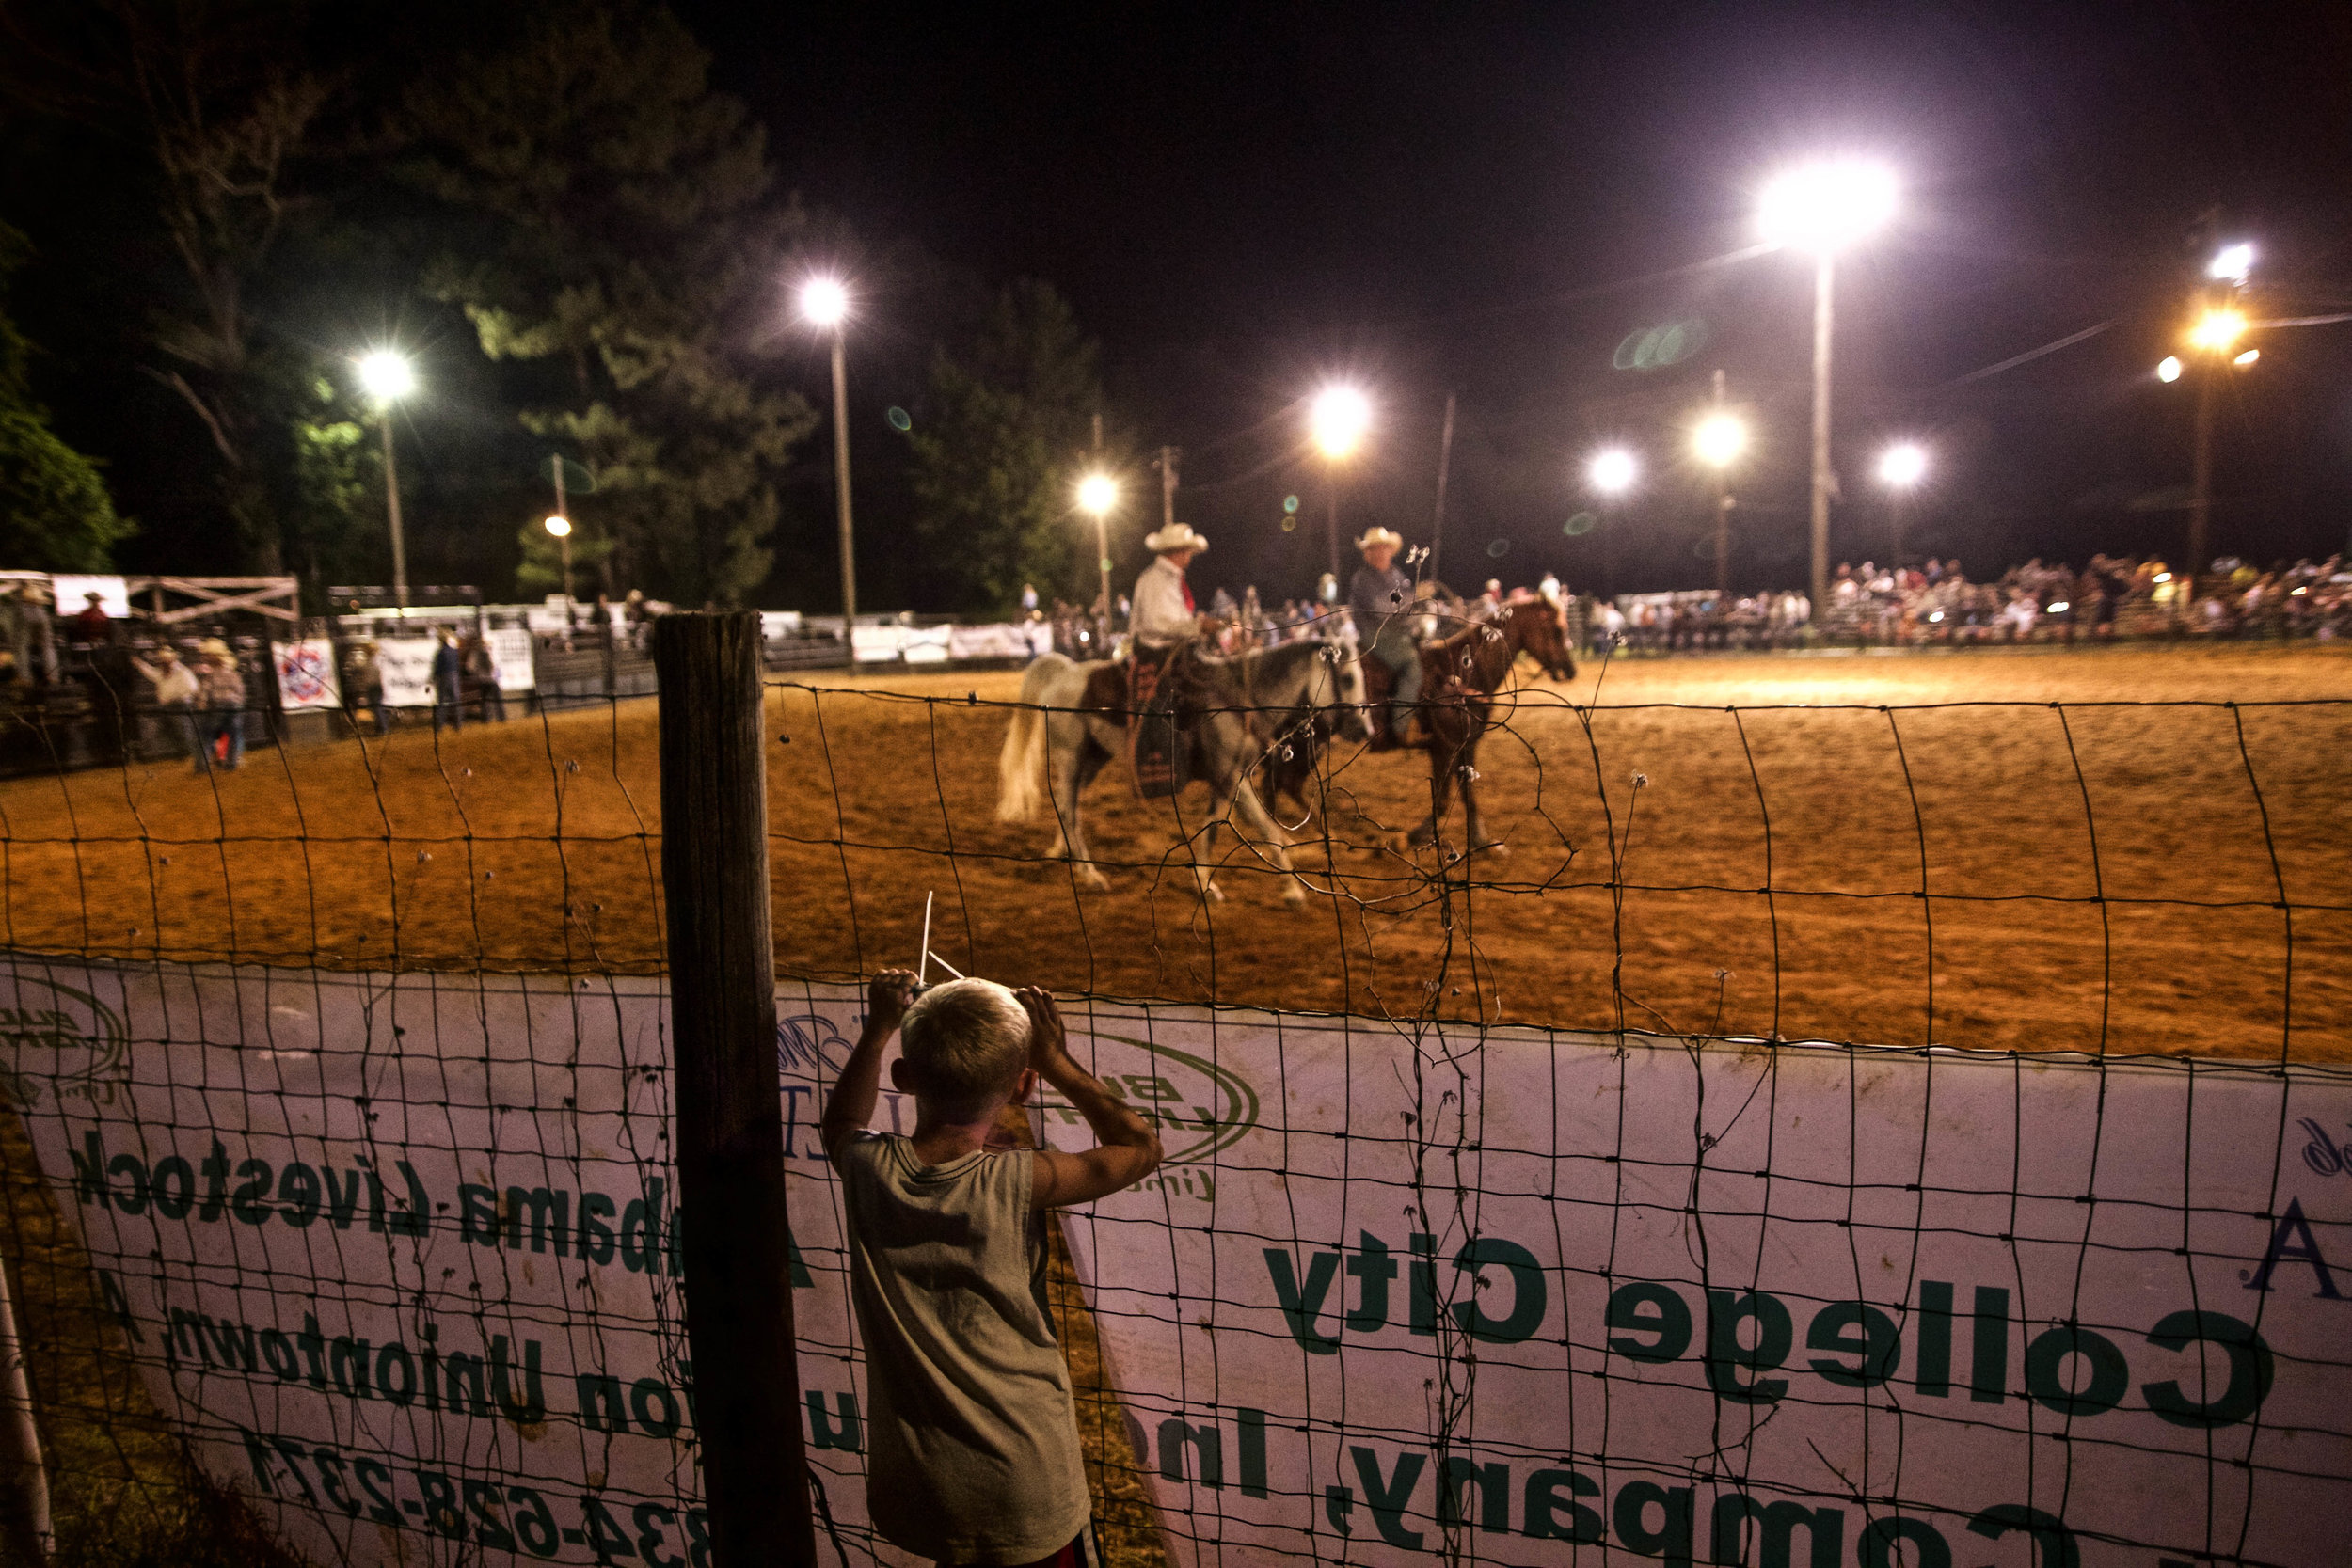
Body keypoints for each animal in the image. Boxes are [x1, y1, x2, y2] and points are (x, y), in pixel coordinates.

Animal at [997, 639, 1374, 907]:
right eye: (1347, 677)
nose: (1366, 729)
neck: (1239, 698)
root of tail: (1066, 673)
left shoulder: (1225, 782)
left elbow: (1211, 829)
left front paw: (1204, 885)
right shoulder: (1233, 778)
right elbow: (1269, 830)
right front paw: (1293, 892)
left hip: (1093, 758)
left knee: (1068, 805)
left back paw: (1065, 855)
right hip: (1070, 756)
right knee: (1068, 808)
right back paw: (1090, 875)